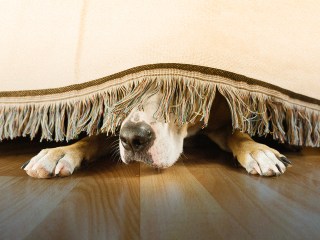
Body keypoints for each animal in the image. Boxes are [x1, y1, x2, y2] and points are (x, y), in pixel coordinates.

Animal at [21, 92, 292, 178]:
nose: (132, 138)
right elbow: (92, 138)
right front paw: (59, 153)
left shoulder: (220, 122)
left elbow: (239, 134)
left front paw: (259, 151)